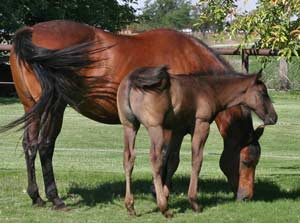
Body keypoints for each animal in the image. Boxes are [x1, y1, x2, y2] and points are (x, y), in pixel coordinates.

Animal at [2, 20, 262, 210]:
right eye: (247, 161)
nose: (246, 197)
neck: (189, 60)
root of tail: (31, 31)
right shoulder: (168, 126)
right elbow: (167, 158)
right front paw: (160, 193)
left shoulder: (178, 127)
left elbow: (173, 160)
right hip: (54, 107)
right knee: (45, 146)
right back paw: (55, 198)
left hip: (31, 107)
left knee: (30, 146)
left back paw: (36, 197)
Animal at [117, 65, 276, 217]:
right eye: (263, 92)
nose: (274, 117)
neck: (208, 89)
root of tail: (132, 80)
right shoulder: (202, 125)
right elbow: (197, 160)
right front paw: (193, 202)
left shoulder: (178, 131)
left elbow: (173, 161)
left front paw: (166, 195)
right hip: (155, 128)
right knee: (155, 161)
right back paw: (164, 209)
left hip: (130, 126)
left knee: (128, 159)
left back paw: (130, 206)